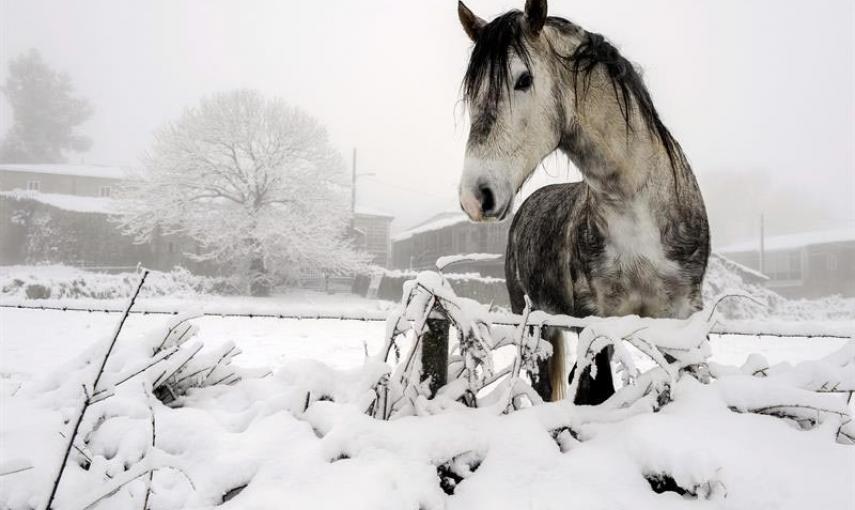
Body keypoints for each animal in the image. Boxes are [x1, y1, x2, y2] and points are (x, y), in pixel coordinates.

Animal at [458, 0, 712, 406]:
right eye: (471, 93)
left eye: (523, 79)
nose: (475, 196)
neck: (638, 218)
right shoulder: (596, 323)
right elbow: (598, 393)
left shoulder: (682, 319)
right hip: (537, 327)